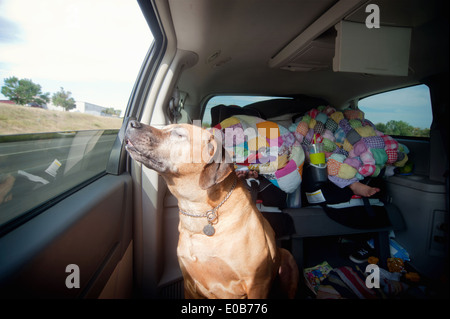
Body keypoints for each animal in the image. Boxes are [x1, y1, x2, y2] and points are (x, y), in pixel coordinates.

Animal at [125, 120, 298, 300]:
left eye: (179, 134)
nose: (132, 122)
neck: (198, 213)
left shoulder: (257, 284)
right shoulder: (190, 284)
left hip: (288, 259)